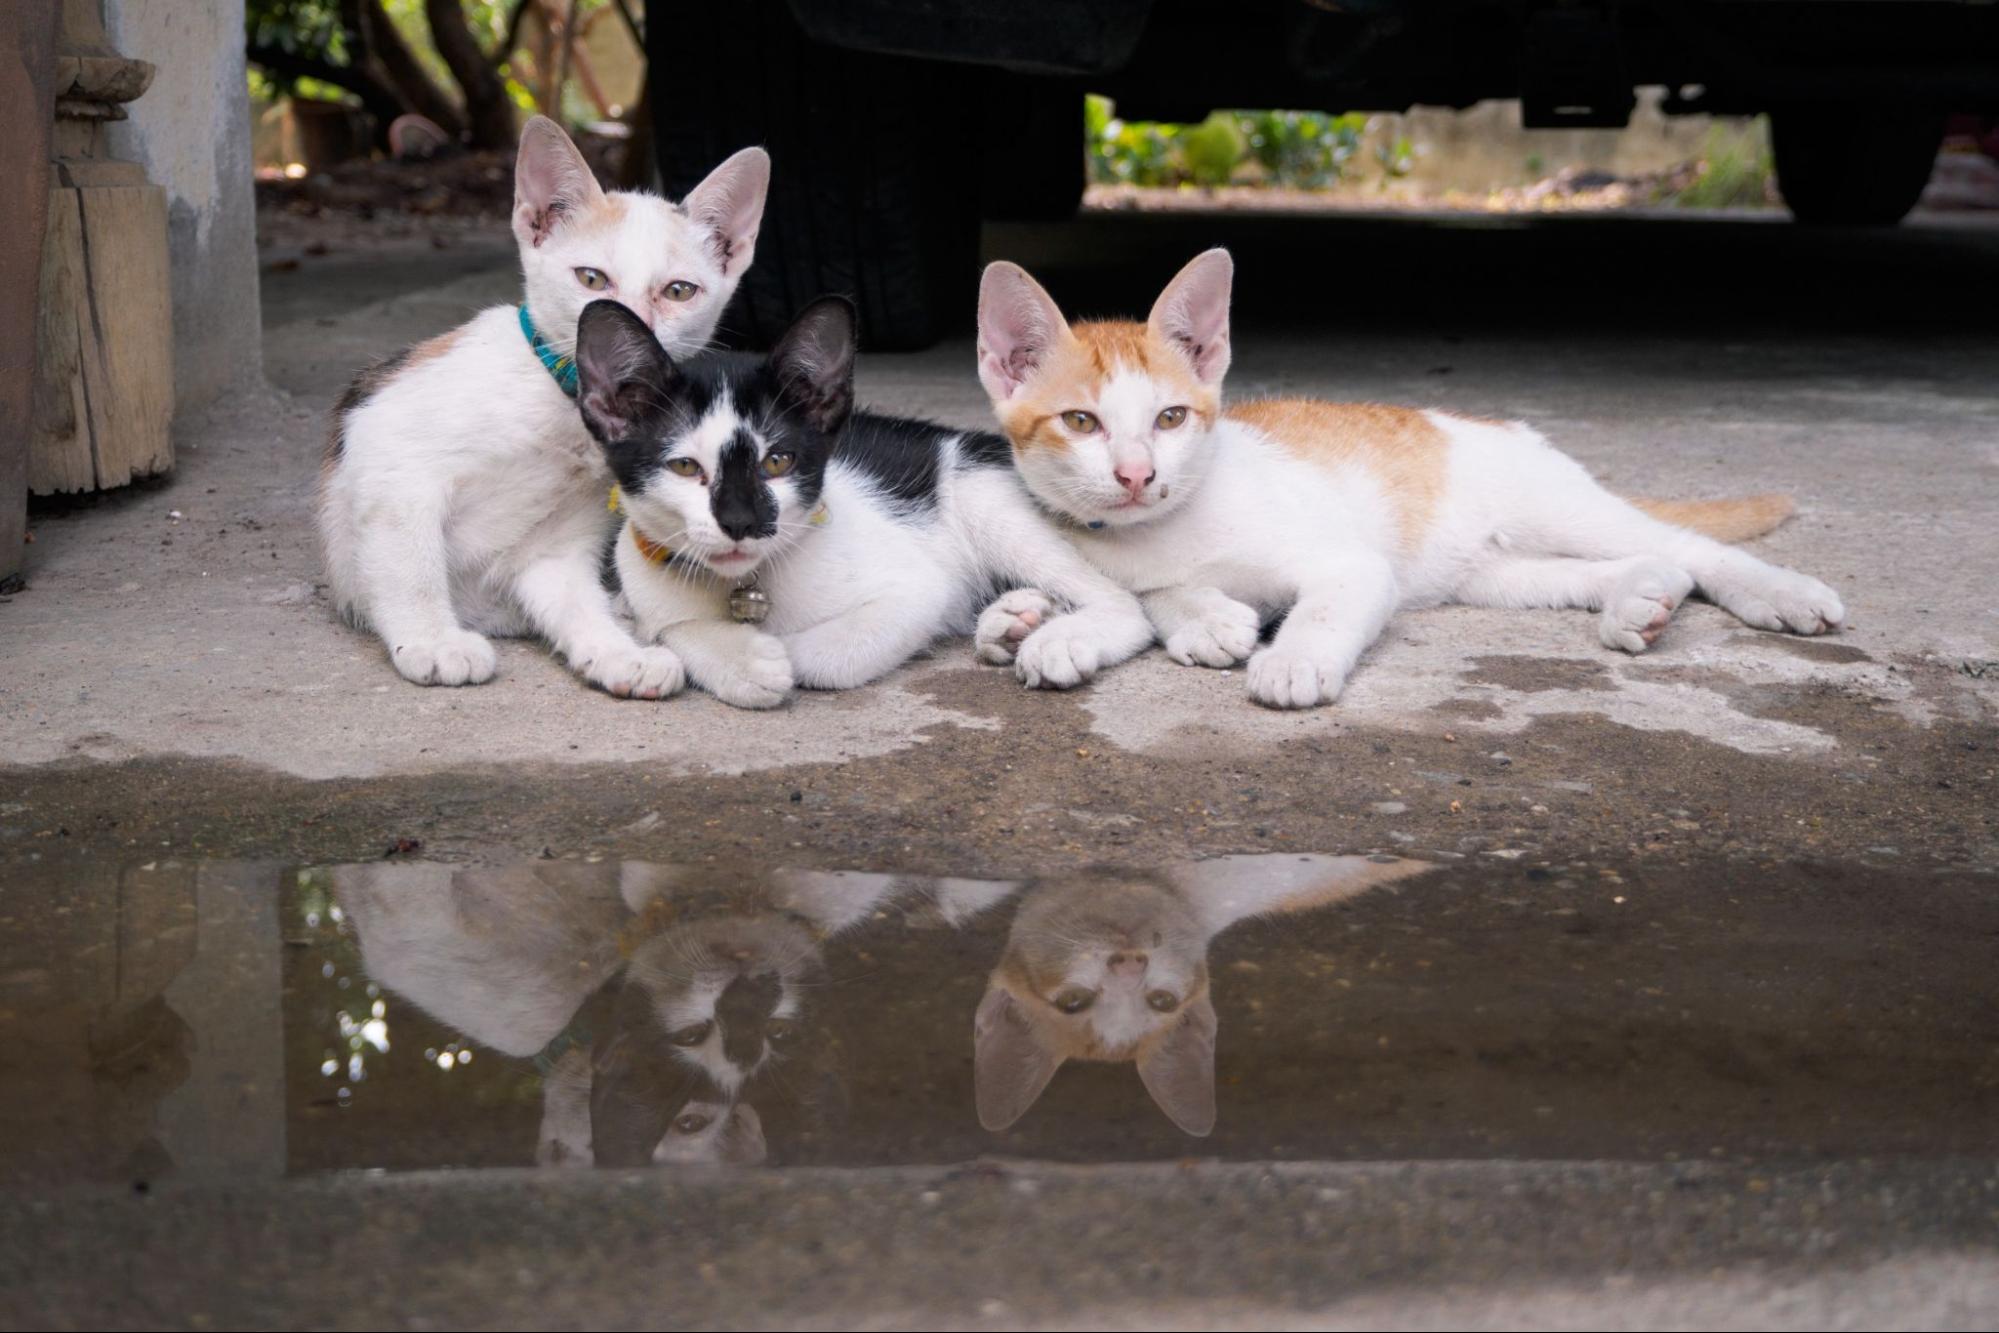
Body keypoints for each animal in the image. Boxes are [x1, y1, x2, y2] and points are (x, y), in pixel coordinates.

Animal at [315, 117, 767, 699]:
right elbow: (410, 562)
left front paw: (616, 652)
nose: (628, 331)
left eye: (678, 291)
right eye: (591, 279)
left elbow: (576, 602)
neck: (564, 410)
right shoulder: (388, 453)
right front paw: (432, 640)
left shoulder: (556, 546)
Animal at [571, 293, 1151, 707]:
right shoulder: (641, 572)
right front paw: (735, 657)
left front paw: (766, 658)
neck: (744, 585)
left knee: (1122, 606)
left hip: (985, 494)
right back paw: (1012, 620)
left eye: (777, 462)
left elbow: (828, 655)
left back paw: (1058, 639)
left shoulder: (919, 590)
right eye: (686, 467)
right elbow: (668, 626)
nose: (742, 522)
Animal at [975, 249, 1847, 707]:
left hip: (1556, 507)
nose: (1136, 474)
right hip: (1493, 574)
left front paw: (1291, 657)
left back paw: (1779, 593)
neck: (1163, 530)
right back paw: (1641, 598)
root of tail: (1505, 427)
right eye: (1081, 422)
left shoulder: (1354, 564)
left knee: (1692, 548)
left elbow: (1325, 606)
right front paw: (1199, 617)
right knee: (1622, 564)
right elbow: (1156, 595)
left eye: (1169, 418)